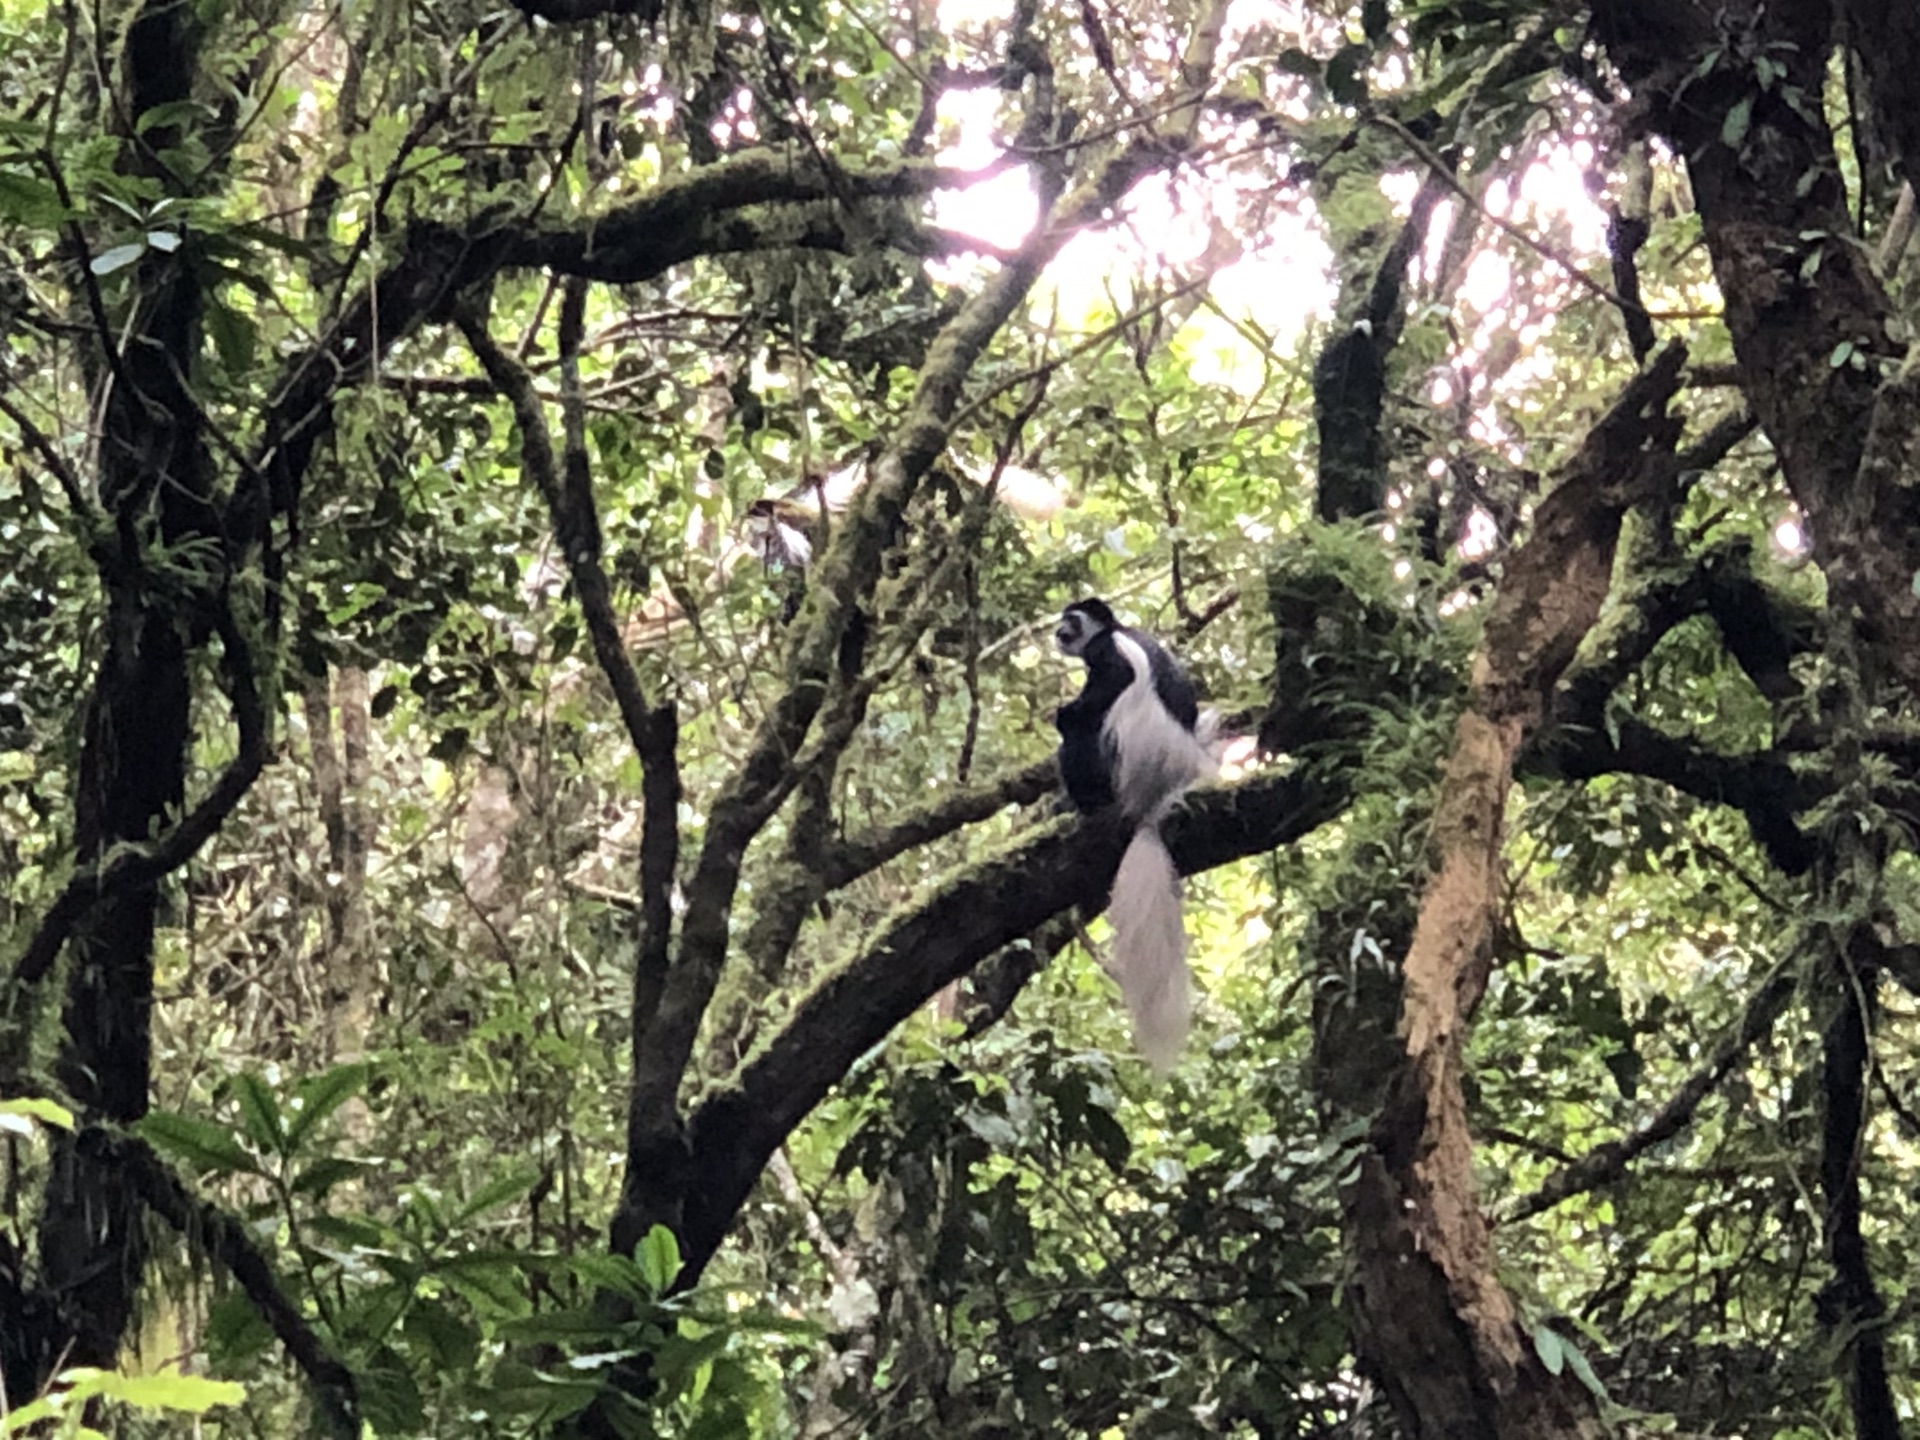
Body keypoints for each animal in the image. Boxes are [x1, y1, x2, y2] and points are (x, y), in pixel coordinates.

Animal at [1052, 599, 1213, 1075]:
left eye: (1073, 619)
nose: (1058, 630)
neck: (1118, 629)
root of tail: (1150, 805)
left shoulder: (1107, 654)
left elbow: (1091, 703)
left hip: (1113, 770)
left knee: (1080, 734)